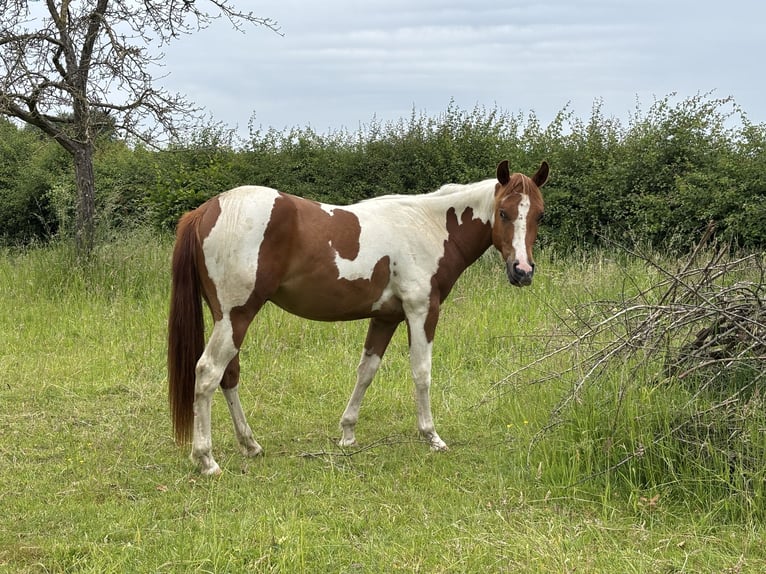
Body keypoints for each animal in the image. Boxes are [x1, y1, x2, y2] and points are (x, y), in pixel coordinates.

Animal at [168, 160, 548, 475]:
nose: (523, 271)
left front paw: (347, 433)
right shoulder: (422, 311)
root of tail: (205, 210)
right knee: (208, 373)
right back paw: (207, 460)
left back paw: (250, 445)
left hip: (228, 318)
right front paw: (432, 437)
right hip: (237, 316)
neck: (430, 226)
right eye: (503, 212)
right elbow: (421, 373)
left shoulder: (385, 318)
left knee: (228, 376)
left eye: (539, 215)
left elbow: (366, 371)